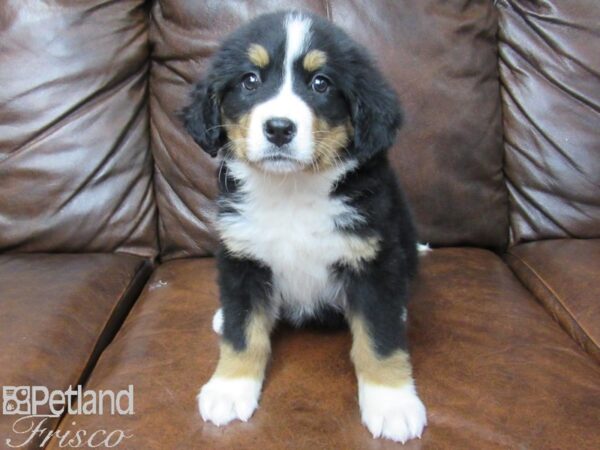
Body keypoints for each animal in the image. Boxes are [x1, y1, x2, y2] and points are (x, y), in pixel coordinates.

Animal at [183, 9, 426, 442]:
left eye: (320, 83)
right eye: (250, 80)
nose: (279, 128)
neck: (291, 191)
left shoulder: (373, 260)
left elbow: (379, 340)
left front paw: (391, 402)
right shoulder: (242, 259)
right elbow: (243, 333)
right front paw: (230, 388)